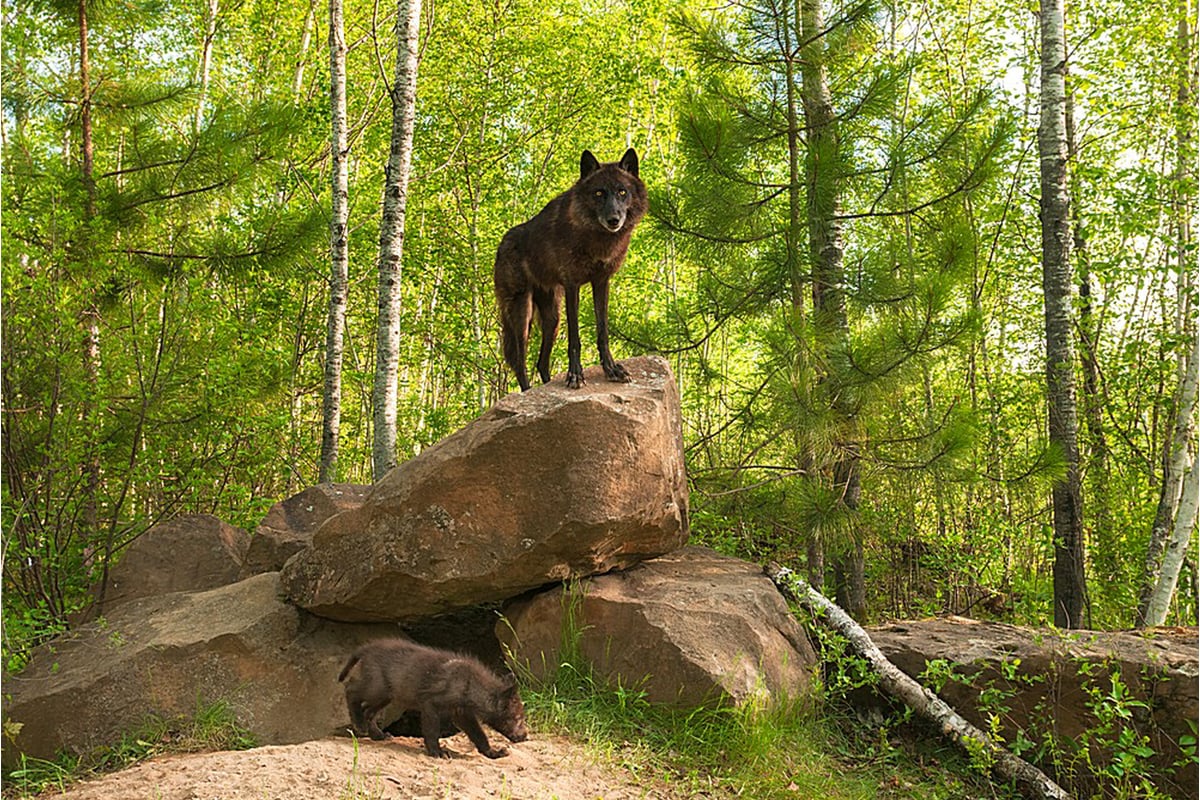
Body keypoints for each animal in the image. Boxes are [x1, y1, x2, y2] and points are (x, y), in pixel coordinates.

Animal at [336, 642, 528, 762]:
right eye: (518, 718)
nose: (525, 736)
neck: (469, 684)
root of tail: (367, 649)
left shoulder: (462, 714)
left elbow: (479, 736)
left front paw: (493, 753)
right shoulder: (430, 705)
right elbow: (431, 731)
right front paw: (437, 752)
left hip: (386, 695)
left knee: (368, 711)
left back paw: (377, 735)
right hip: (377, 688)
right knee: (351, 689)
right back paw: (359, 725)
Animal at [494, 148, 652, 393]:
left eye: (622, 192)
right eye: (599, 193)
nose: (613, 219)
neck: (597, 239)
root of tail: (502, 244)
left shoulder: (601, 282)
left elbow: (603, 332)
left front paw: (611, 369)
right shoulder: (572, 285)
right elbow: (575, 338)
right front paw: (575, 375)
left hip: (552, 318)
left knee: (541, 363)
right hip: (522, 314)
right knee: (520, 362)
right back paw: (527, 392)